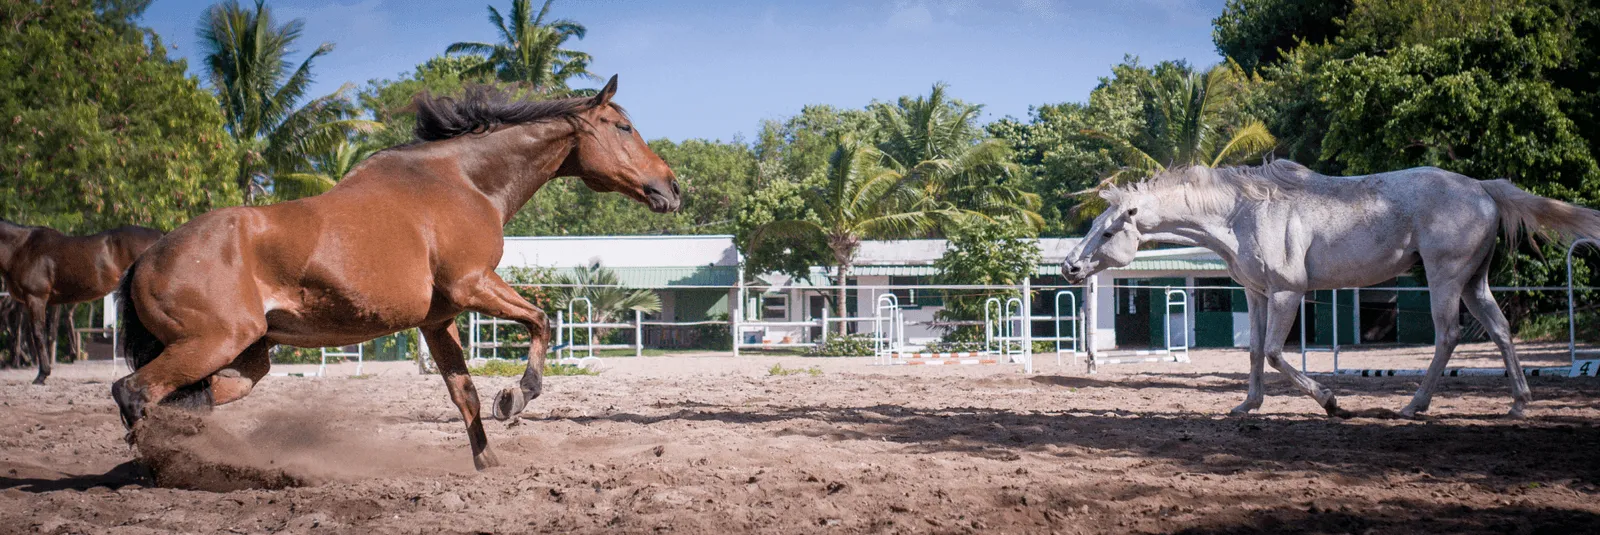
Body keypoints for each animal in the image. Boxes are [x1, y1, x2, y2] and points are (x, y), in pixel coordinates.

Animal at [113, 76, 680, 470]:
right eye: (624, 127)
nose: (672, 188)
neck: (463, 181)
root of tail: (144, 260)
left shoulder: (438, 320)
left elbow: (464, 392)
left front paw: (488, 461)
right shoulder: (472, 285)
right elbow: (539, 323)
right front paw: (515, 398)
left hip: (249, 360)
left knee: (179, 402)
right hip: (216, 341)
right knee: (135, 392)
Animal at [1062, 160, 1600, 418]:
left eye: (1107, 232)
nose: (1070, 266)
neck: (1242, 212)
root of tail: (1484, 189)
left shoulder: (1287, 293)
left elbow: (1276, 353)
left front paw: (1331, 402)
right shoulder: (1257, 295)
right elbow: (1254, 352)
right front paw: (1247, 406)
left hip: (1445, 279)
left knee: (1448, 336)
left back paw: (1414, 407)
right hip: (1473, 281)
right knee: (1501, 329)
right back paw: (1519, 403)